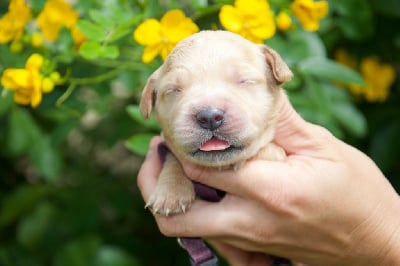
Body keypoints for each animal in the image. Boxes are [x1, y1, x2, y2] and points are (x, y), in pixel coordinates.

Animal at [141, 30, 294, 216]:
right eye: (174, 90)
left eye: (244, 80)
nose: (210, 117)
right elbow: (173, 158)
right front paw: (171, 191)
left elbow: (270, 151)